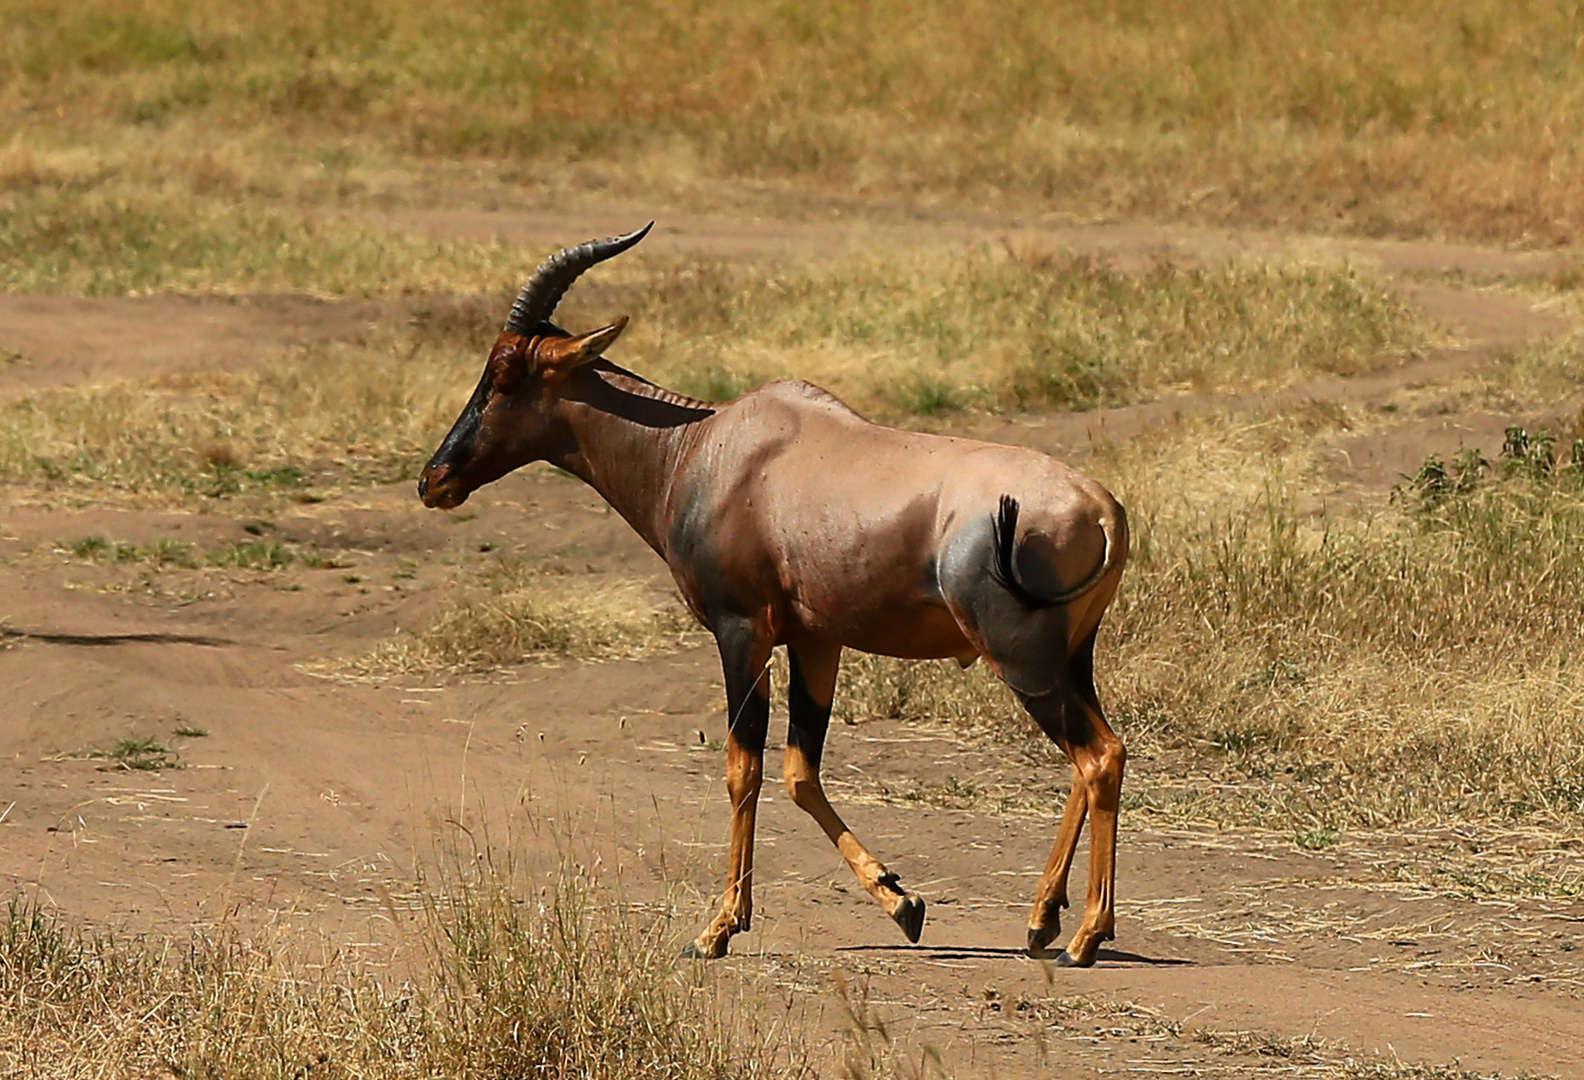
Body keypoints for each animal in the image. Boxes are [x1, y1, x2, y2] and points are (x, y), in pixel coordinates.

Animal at [421, 223, 1134, 962]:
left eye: (506, 372)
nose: (434, 479)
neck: (706, 446)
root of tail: (1103, 509)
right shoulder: (817, 640)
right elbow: (800, 772)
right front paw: (903, 903)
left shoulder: (742, 630)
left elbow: (744, 767)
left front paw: (717, 929)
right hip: (1068, 658)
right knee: (1089, 759)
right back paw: (1042, 919)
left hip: (1020, 657)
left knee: (1099, 756)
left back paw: (1086, 934)